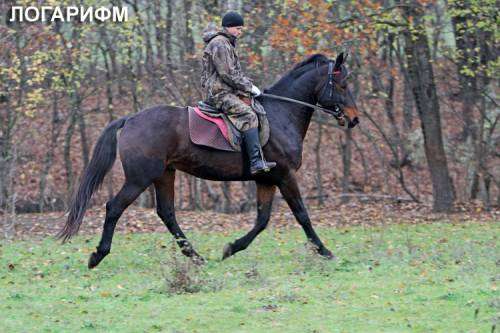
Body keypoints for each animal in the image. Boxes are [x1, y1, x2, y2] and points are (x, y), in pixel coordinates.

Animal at [58, 52, 360, 270]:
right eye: (343, 84)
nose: (354, 119)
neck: (281, 114)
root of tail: (131, 119)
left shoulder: (266, 180)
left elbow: (262, 220)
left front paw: (231, 248)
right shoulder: (284, 176)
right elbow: (302, 215)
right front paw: (325, 251)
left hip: (164, 174)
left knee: (167, 213)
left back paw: (196, 257)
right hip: (140, 178)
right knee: (114, 208)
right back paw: (97, 256)